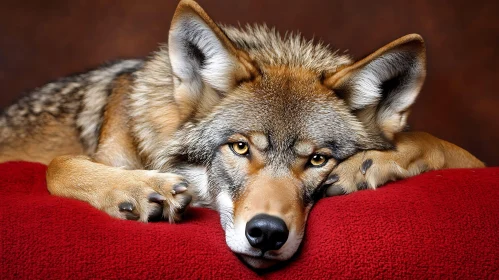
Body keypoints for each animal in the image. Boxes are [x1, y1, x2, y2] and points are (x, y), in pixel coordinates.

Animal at [0, 0, 484, 270]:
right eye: (240, 147)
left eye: (318, 159)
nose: (267, 234)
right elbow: (58, 166)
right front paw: (140, 190)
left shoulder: (466, 159)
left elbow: (441, 144)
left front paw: (370, 163)